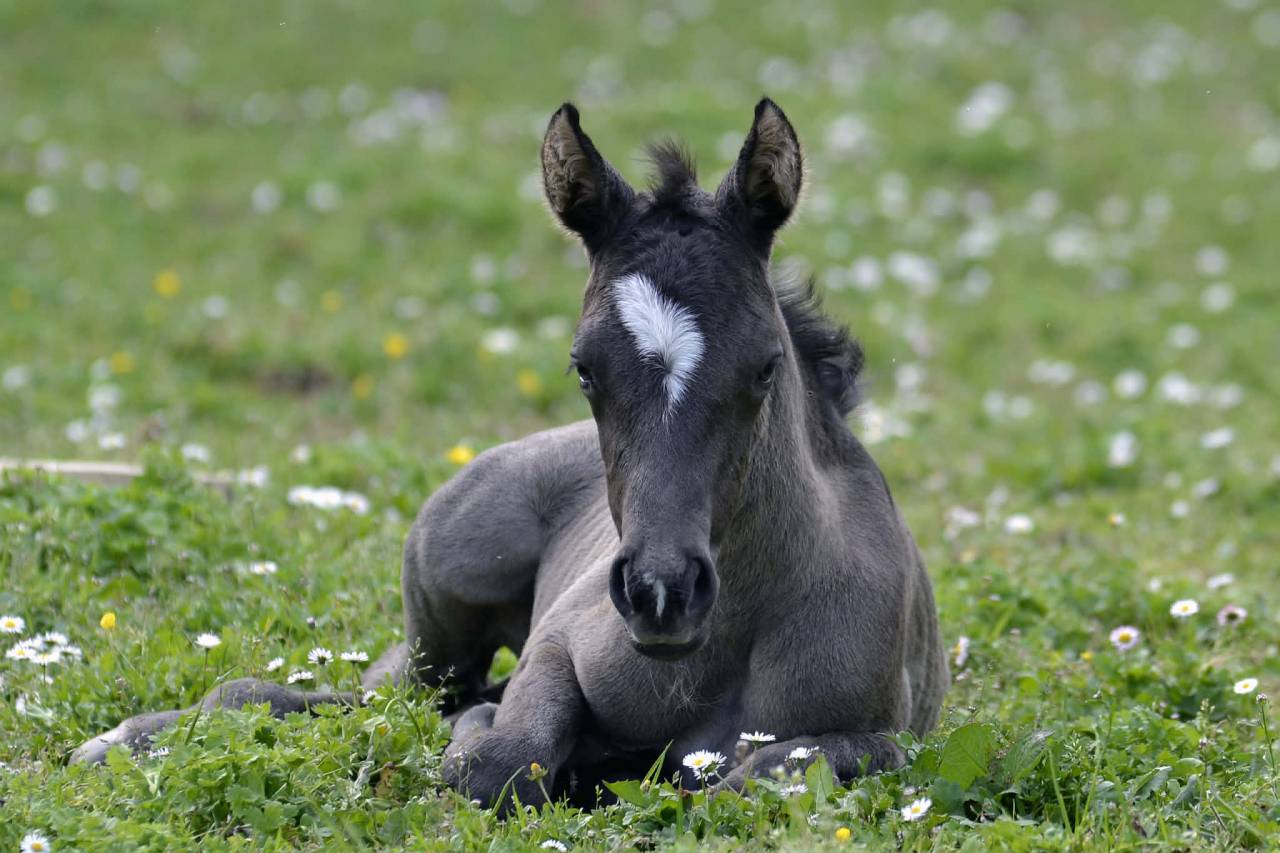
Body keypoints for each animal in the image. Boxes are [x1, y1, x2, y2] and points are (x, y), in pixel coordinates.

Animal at [72, 98, 949, 810]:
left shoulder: (887, 737)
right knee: (350, 694)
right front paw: (492, 740)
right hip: (441, 615)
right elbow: (498, 758)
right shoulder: (559, 645)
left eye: (766, 365)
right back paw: (122, 739)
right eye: (583, 366)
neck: (733, 637)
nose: (662, 593)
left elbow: (757, 774)